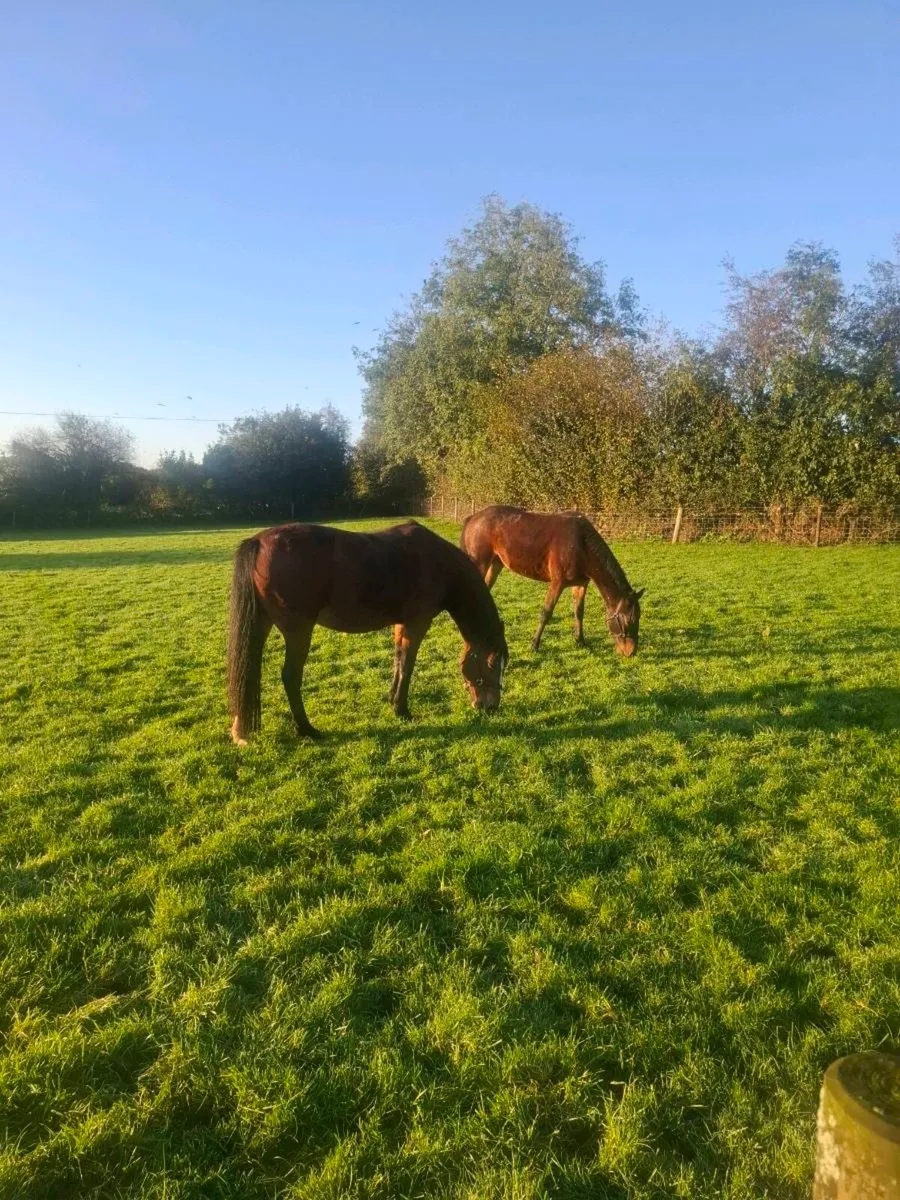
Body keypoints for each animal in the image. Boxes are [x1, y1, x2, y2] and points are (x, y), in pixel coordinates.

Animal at [227, 520, 509, 743]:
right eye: (492, 663)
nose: (491, 707)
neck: (439, 563)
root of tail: (258, 542)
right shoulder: (418, 623)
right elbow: (407, 666)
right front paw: (402, 710)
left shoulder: (401, 624)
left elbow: (397, 661)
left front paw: (392, 702)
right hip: (298, 631)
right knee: (290, 676)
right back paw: (307, 729)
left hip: (262, 624)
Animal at [460, 505, 644, 655]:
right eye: (628, 619)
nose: (630, 652)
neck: (581, 545)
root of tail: (473, 518)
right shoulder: (557, 583)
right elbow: (546, 612)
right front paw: (534, 645)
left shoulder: (581, 584)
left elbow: (579, 611)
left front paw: (580, 640)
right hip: (480, 563)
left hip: (495, 564)